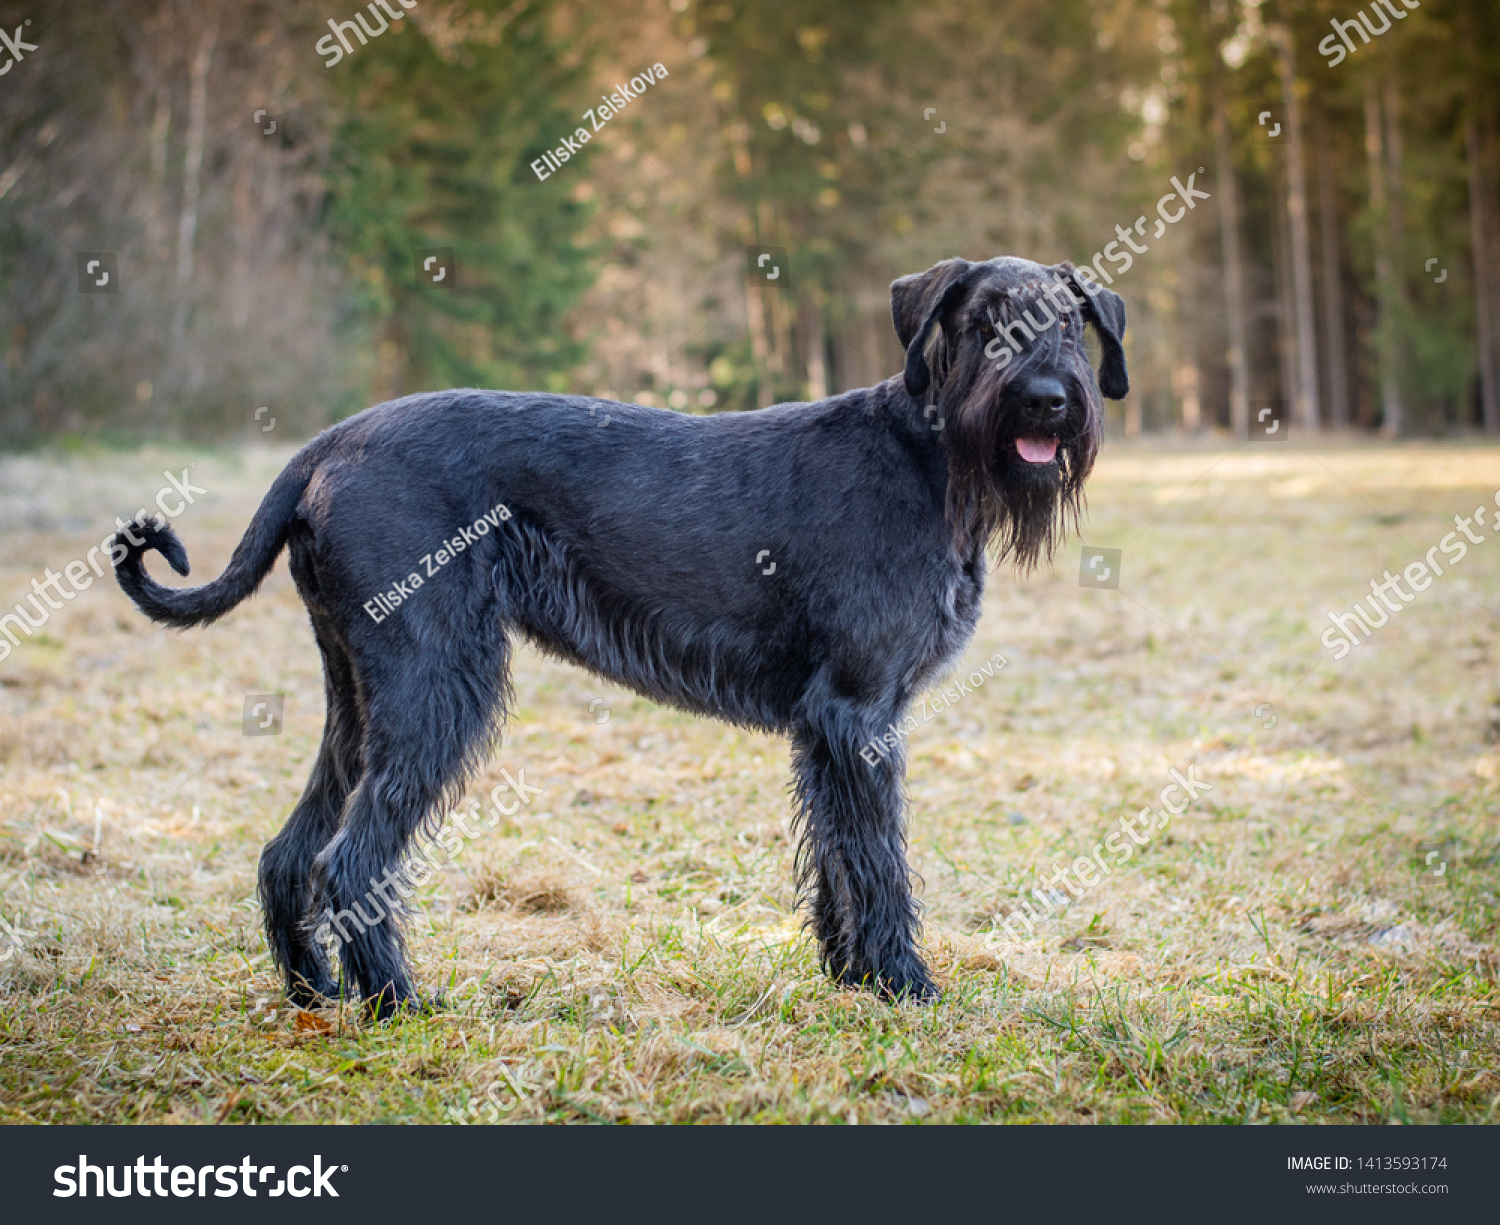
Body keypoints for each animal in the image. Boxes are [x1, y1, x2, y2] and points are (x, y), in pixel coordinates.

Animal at [117, 256, 1128, 1013]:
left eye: (1071, 325)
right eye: (988, 320)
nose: (1047, 399)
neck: (936, 460)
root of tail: (324, 448)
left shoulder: (831, 729)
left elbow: (838, 856)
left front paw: (851, 978)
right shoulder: (859, 712)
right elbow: (878, 861)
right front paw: (906, 985)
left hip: (360, 699)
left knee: (292, 850)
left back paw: (314, 993)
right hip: (438, 685)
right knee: (353, 856)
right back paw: (398, 1000)